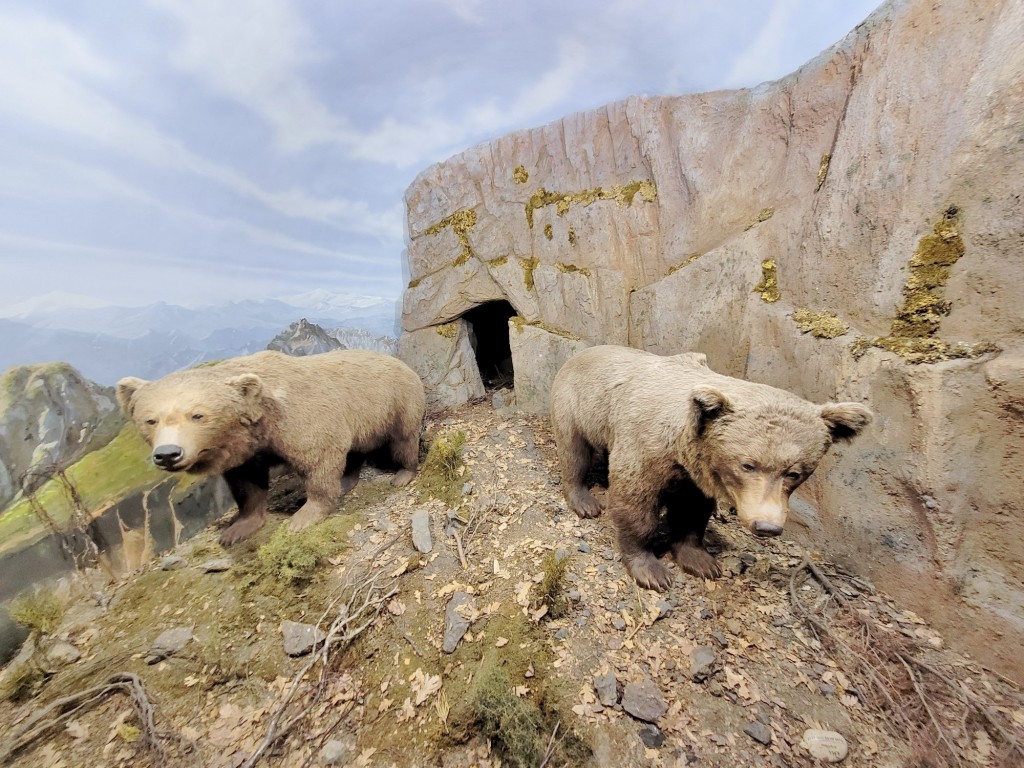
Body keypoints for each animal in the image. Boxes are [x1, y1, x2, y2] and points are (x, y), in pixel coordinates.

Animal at [117, 348, 425, 548]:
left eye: (198, 415)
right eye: (150, 420)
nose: (168, 454)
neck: (263, 422)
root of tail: (401, 361)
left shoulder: (301, 418)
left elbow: (319, 460)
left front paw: (302, 517)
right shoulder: (247, 451)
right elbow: (246, 484)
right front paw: (237, 529)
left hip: (396, 401)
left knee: (403, 439)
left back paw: (403, 473)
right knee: (355, 451)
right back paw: (348, 480)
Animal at [552, 346, 872, 593]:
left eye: (794, 472)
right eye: (748, 464)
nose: (767, 526)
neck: (680, 446)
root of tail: (580, 352)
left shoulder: (693, 473)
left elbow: (692, 512)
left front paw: (702, 562)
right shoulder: (645, 447)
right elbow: (635, 503)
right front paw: (653, 571)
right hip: (577, 405)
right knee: (574, 453)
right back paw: (585, 501)